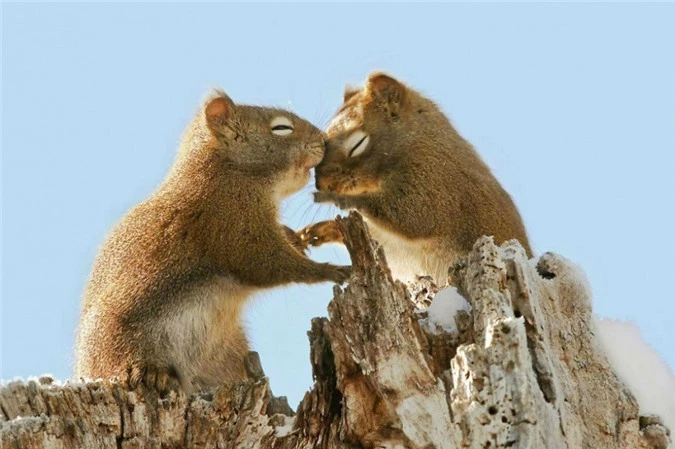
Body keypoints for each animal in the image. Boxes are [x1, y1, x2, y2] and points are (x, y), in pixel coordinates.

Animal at [76, 90, 352, 392]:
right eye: (281, 128)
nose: (324, 141)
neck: (228, 171)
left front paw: (294, 235)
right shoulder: (234, 225)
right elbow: (269, 264)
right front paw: (331, 270)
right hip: (120, 340)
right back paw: (150, 372)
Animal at [298, 72, 532, 284]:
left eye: (357, 144)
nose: (321, 184)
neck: (414, 141)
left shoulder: (436, 180)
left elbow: (413, 216)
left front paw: (338, 199)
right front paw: (322, 230)